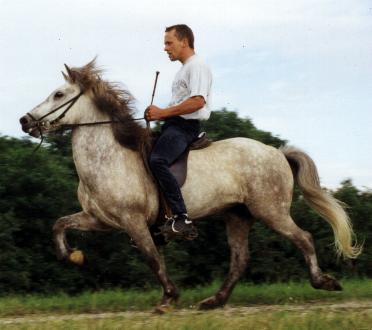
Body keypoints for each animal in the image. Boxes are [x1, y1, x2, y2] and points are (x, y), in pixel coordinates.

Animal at [19, 60, 360, 312]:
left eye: (59, 95)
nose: (25, 121)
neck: (108, 156)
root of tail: (276, 151)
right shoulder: (100, 219)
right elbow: (59, 225)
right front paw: (73, 256)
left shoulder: (133, 221)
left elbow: (152, 258)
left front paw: (169, 296)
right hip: (238, 215)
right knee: (240, 259)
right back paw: (214, 301)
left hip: (270, 210)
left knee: (303, 238)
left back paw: (324, 282)